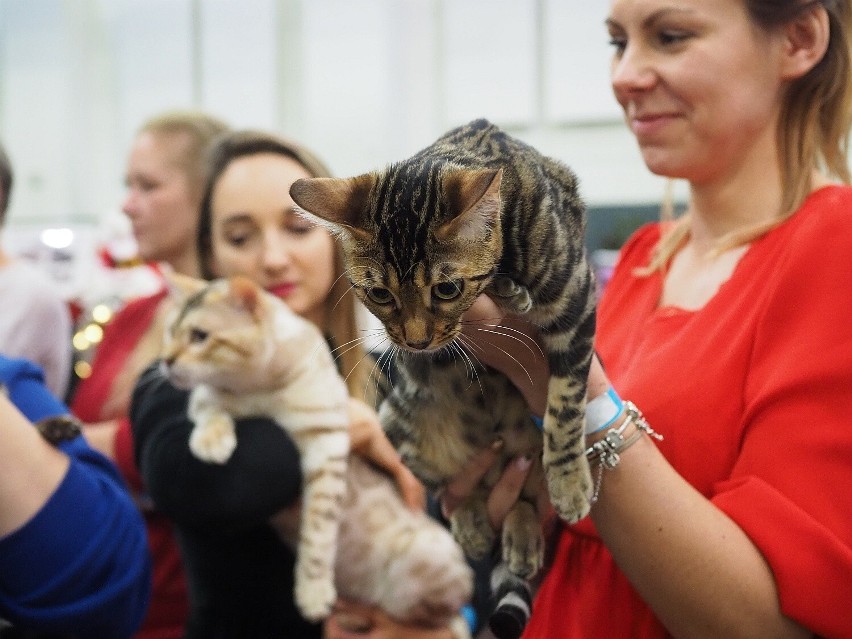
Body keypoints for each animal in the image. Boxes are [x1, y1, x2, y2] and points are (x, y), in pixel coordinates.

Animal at [290, 116, 596, 639]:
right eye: (379, 295)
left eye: (447, 289)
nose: (415, 342)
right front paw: (509, 290)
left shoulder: (576, 300)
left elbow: (565, 406)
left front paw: (570, 478)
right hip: (398, 422)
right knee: (458, 490)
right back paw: (475, 523)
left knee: (524, 490)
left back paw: (522, 532)